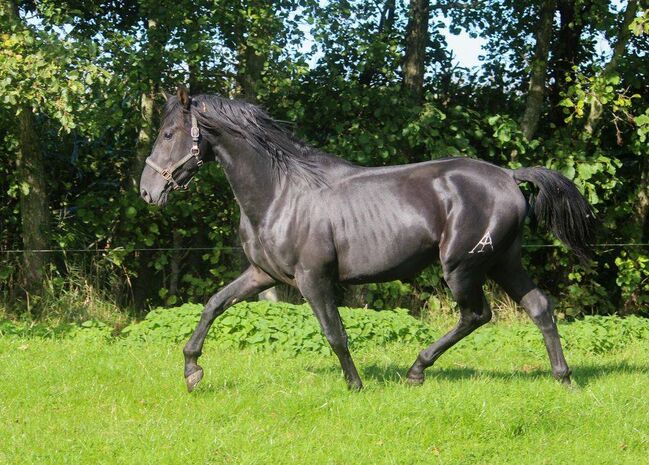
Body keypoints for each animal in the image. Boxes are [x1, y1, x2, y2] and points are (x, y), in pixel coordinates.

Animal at [139, 88, 596, 392]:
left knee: (476, 315)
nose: (146, 191)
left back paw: (416, 370)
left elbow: (335, 334)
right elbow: (214, 305)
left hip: (463, 267)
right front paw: (192, 371)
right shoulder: (262, 274)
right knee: (539, 307)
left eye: (168, 134)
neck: (280, 193)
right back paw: (564, 379)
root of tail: (508, 176)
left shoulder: (313, 279)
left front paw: (355, 386)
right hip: (503, 261)